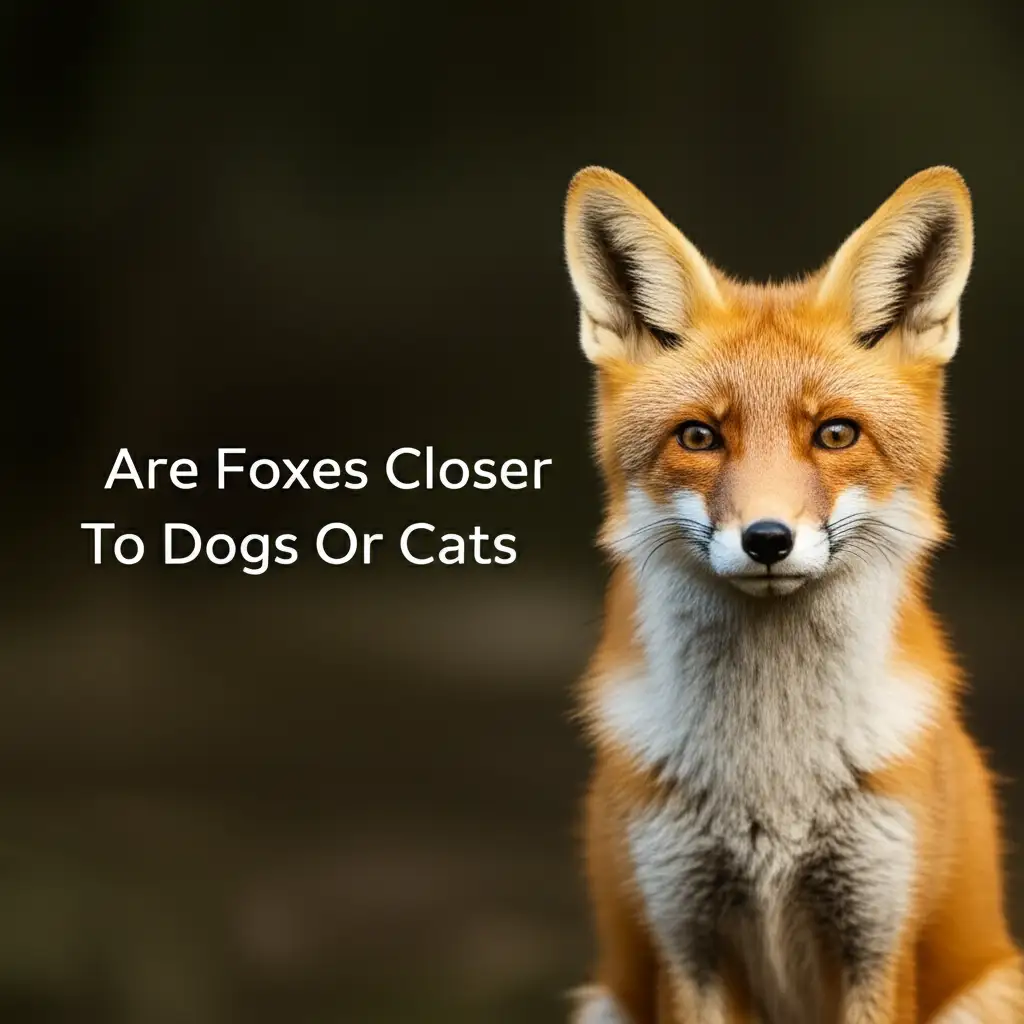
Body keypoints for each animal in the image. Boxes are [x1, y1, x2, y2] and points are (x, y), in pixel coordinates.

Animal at [562, 165, 1022, 1023]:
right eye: (699, 436)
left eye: (835, 434)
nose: (768, 539)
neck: (771, 789)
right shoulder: (686, 935)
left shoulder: (877, 932)